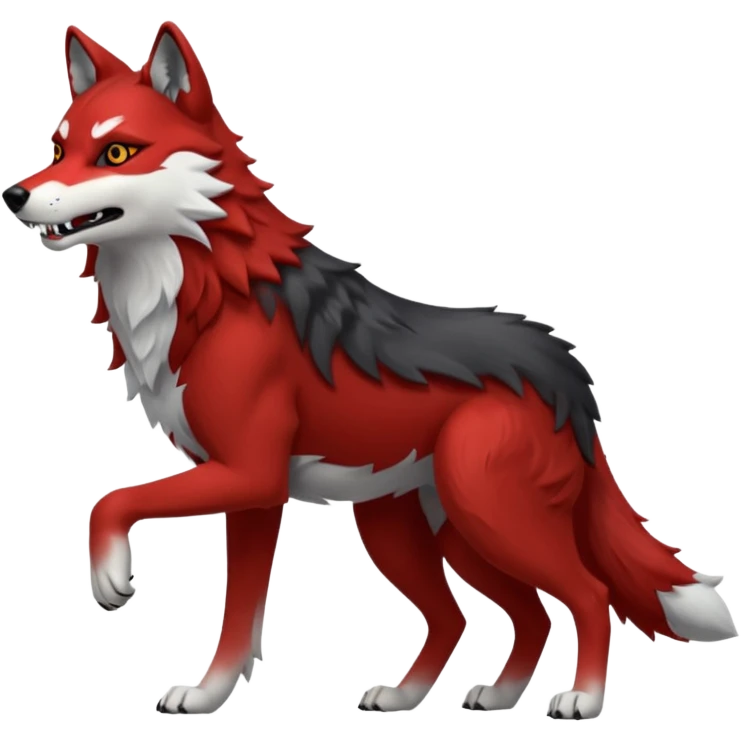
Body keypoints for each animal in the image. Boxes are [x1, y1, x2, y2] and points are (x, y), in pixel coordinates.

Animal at [2, 21, 736, 719]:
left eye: (117, 153)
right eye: (59, 149)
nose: (14, 194)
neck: (206, 288)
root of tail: (567, 369)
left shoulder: (248, 474)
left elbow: (113, 502)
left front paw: (112, 580)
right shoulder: (252, 493)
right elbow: (239, 615)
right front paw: (211, 696)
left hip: (486, 515)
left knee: (586, 593)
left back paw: (580, 701)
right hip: (426, 530)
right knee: (489, 614)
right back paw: (454, 696)